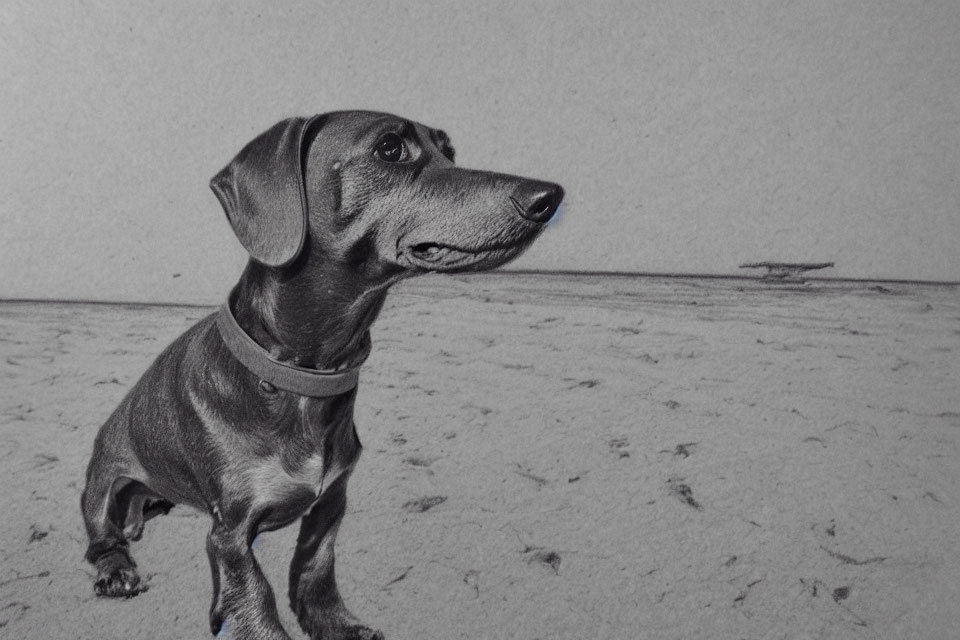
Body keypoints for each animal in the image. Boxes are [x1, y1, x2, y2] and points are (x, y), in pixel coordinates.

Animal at [84, 111, 564, 640]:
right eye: (390, 148)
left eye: (449, 151)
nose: (550, 196)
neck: (298, 378)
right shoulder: (229, 533)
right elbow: (254, 598)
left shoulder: (331, 501)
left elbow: (316, 567)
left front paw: (335, 623)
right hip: (102, 485)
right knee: (101, 539)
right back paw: (116, 569)